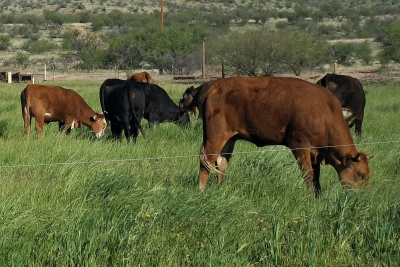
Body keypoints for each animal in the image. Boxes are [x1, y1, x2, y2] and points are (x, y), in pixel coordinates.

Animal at [199, 76, 372, 198]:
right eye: (361, 176)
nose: (362, 197)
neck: (324, 112)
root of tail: (215, 86)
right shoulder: (300, 146)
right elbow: (308, 175)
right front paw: (311, 199)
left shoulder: (315, 153)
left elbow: (316, 177)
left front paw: (318, 196)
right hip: (216, 136)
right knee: (206, 161)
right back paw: (201, 191)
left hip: (229, 139)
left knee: (221, 163)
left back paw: (221, 190)